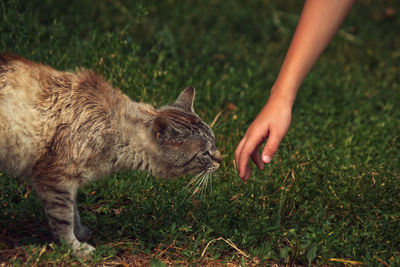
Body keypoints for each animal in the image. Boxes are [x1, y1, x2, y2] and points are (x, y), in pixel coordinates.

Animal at [0, 54, 222, 258]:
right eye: (204, 153)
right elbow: (63, 219)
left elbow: (73, 211)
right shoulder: (55, 178)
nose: (221, 159)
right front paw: (75, 247)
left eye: (214, 143)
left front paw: (80, 233)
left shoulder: (66, 182)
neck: (113, 129)